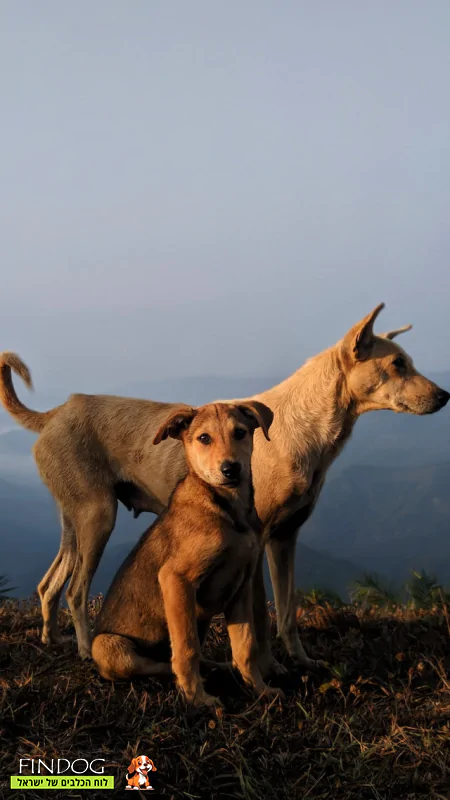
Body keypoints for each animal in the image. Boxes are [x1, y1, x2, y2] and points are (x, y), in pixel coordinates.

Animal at [90, 400, 278, 708]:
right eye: (204, 438)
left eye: (240, 432)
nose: (231, 469)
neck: (228, 510)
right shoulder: (175, 578)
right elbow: (186, 648)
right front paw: (197, 698)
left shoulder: (241, 586)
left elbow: (245, 646)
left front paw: (261, 689)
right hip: (107, 645)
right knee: (161, 662)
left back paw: (219, 668)